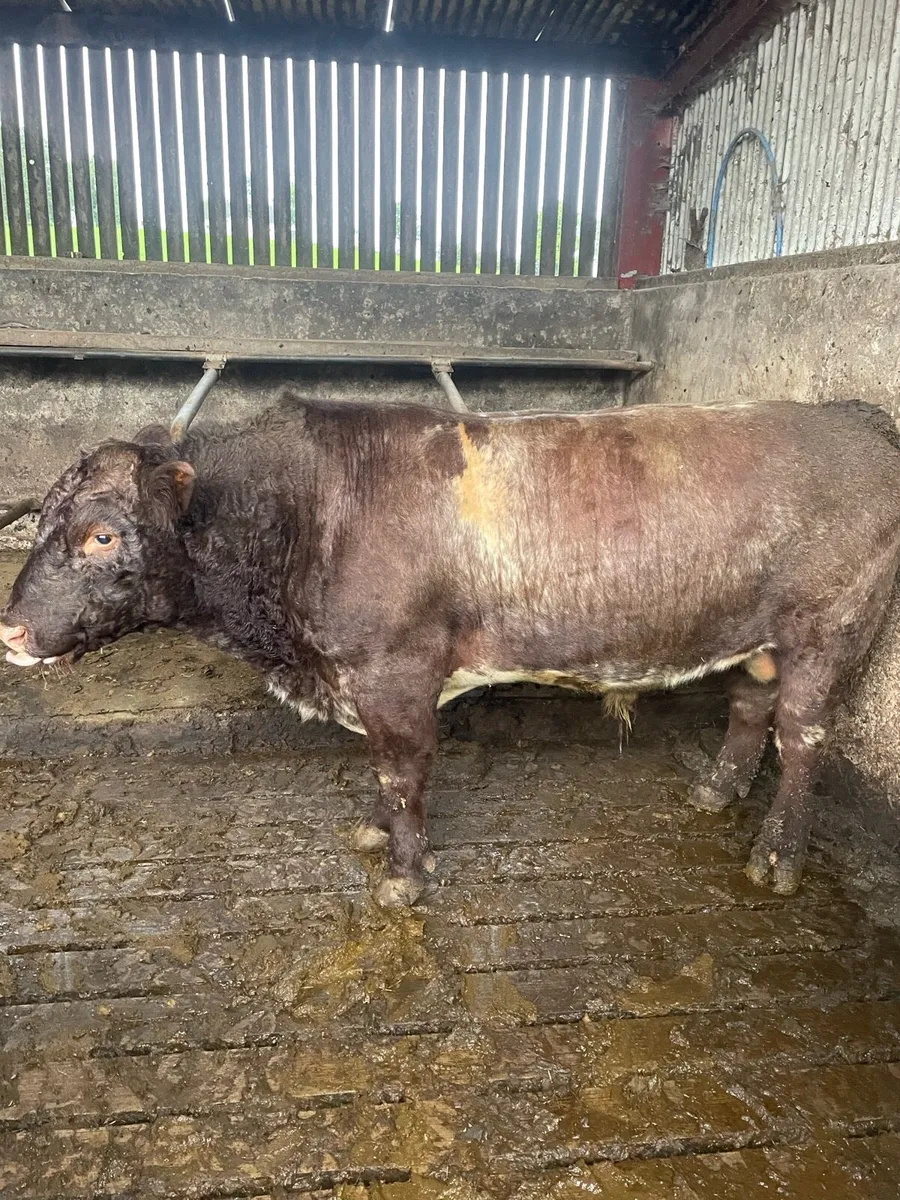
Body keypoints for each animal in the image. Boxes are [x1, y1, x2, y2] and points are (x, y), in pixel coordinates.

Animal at [2, 394, 900, 907]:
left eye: (102, 535)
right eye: (39, 519)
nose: (9, 629)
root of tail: (854, 415)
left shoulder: (395, 672)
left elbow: (403, 774)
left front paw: (403, 877)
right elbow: (383, 777)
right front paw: (375, 837)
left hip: (831, 629)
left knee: (804, 737)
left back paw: (776, 855)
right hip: (762, 635)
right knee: (753, 704)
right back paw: (716, 790)